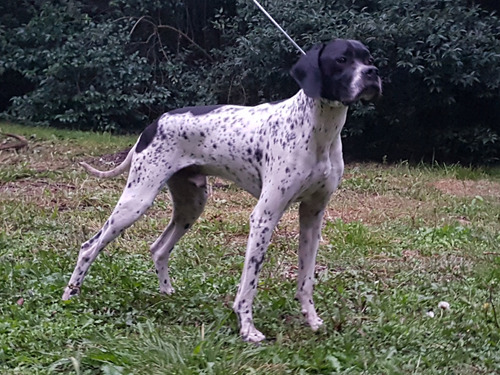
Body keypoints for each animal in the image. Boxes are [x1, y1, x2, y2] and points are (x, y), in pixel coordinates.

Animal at [63, 39, 382, 344]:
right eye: (342, 59)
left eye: (369, 58)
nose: (373, 73)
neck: (318, 130)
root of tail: (152, 125)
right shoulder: (264, 217)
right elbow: (249, 285)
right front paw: (247, 329)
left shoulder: (313, 217)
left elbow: (306, 280)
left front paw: (312, 321)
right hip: (136, 200)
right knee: (89, 247)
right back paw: (71, 294)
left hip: (191, 206)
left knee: (158, 248)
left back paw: (167, 293)